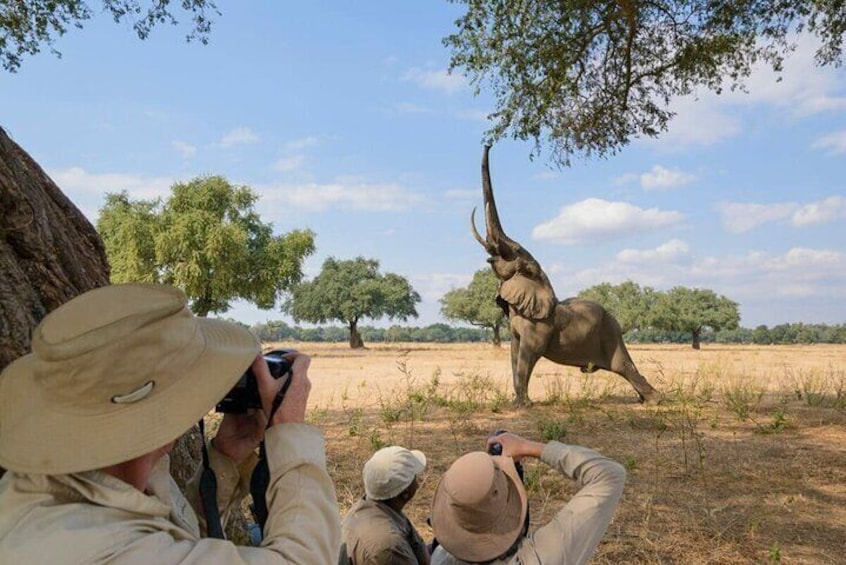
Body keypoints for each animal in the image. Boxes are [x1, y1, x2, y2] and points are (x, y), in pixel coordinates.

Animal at [470, 143, 664, 404]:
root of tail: (614, 319)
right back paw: (645, 399)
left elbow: (529, 355)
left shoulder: (539, 326)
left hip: (610, 335)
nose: (489, 143)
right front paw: (517, 402)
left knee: (623, 366)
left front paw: (523, 405)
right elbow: (514, 354)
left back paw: (655, 400)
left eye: (519, 255)